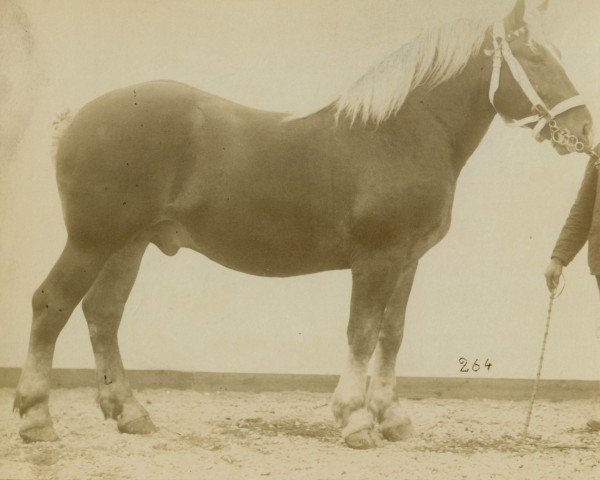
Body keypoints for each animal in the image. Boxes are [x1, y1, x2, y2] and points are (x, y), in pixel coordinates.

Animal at [14, 0, 596, 450]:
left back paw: (130, 413)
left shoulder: (407, 261)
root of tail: (78, 119)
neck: (401, 133)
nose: (583, 129)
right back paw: (37, 418)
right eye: (535, 56)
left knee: (103, 315)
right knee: (51, 304)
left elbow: (392, 334)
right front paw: (356, 421)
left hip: (128, 244)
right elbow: (361, 333)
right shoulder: (376, 259)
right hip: (92, 241)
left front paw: (393, 418)